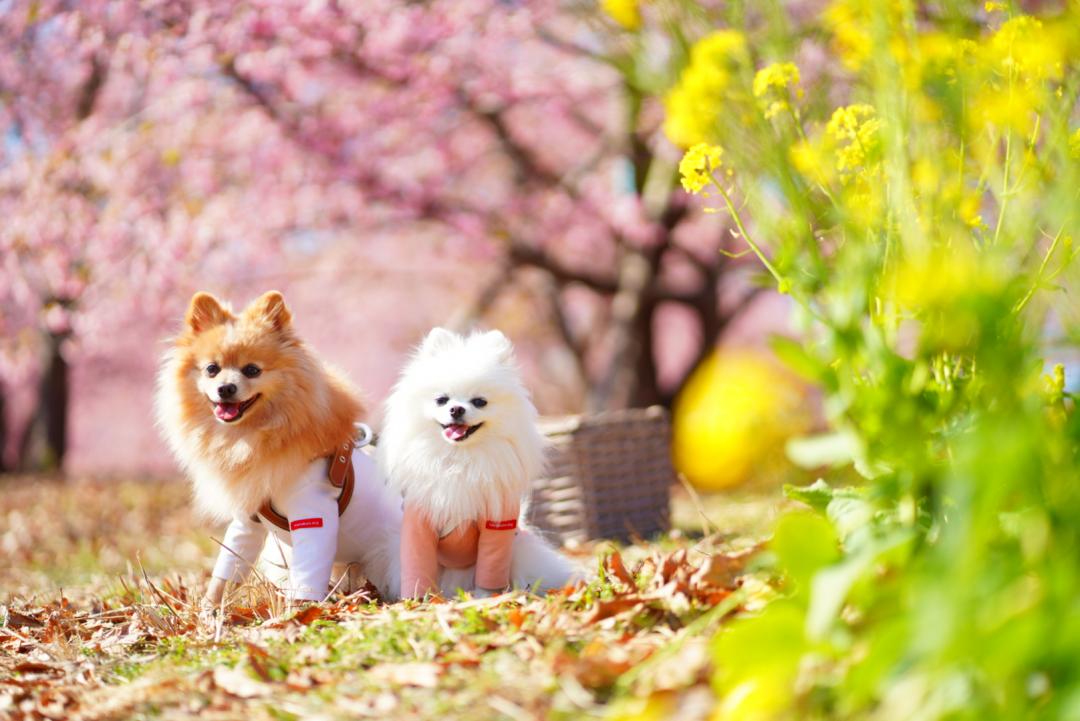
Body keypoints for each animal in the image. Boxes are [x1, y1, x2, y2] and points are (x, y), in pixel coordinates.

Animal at [380, 325, 583, 595]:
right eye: (441, 400)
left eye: (479, 402)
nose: (456, 409)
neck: (459, 459)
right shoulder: (418, 527)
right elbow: (418, 567)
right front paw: (419, 598)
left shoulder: (497, 526)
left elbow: (491, 567)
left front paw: (486, 597)